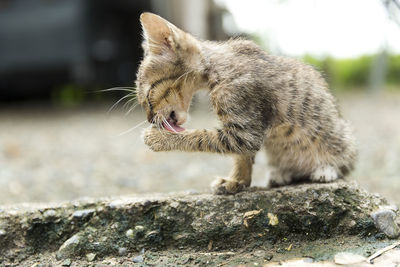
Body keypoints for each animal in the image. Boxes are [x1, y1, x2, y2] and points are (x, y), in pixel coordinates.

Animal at [136, 12, 358, 196]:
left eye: (147, 95)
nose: (150, 119)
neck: (218, 70)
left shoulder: (244, 129)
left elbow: (202, 137)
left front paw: (159, 138)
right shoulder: (244, 130)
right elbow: (242, 156)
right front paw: (236, 181)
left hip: (342, 136)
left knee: (345, 162)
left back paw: (325, 169)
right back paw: (281, 174)